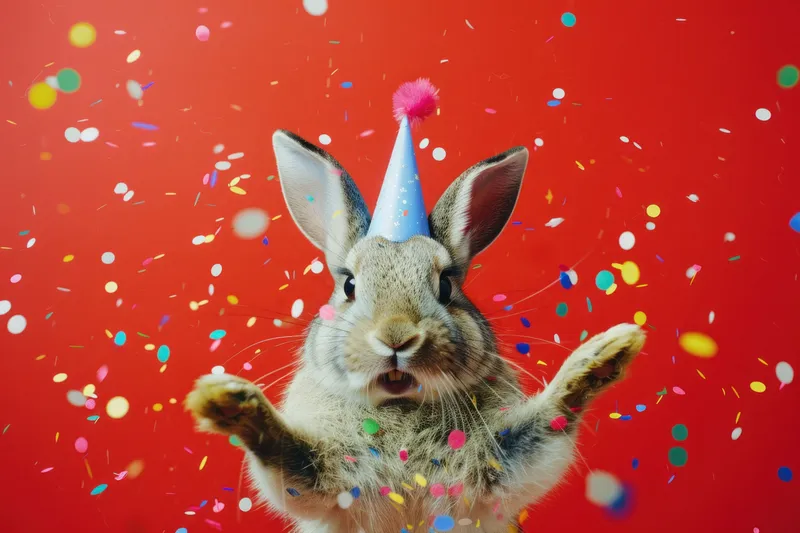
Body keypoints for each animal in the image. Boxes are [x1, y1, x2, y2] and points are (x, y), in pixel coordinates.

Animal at [185, 130, 646, 533]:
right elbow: (288, 455)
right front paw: (227, 401)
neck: (400, 406)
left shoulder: (502, 465)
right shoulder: (325, 477)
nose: (396, 336)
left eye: (446, 287)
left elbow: (548, 422)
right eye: (349, 286)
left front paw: (606, 354)